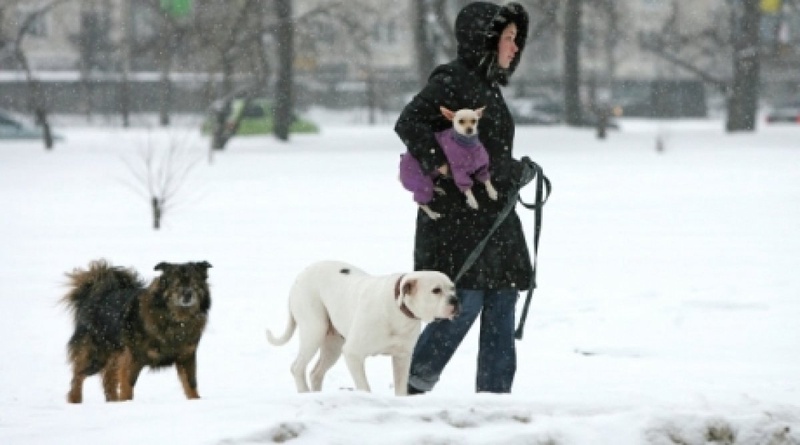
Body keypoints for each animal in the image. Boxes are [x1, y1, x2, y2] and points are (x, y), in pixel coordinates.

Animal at [62, 260, 212, 402]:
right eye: (176, 284)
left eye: (194, 283)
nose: (188, 294)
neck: (175, 320)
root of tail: (97, 291)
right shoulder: (132, 357)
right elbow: (127, 386)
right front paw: (126, 403)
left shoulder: (186, 356)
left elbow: (191, 384)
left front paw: (195, 401)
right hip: (96, 356)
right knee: (78, 376)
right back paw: (75, 399)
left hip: (114, 354)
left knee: (108, 378)